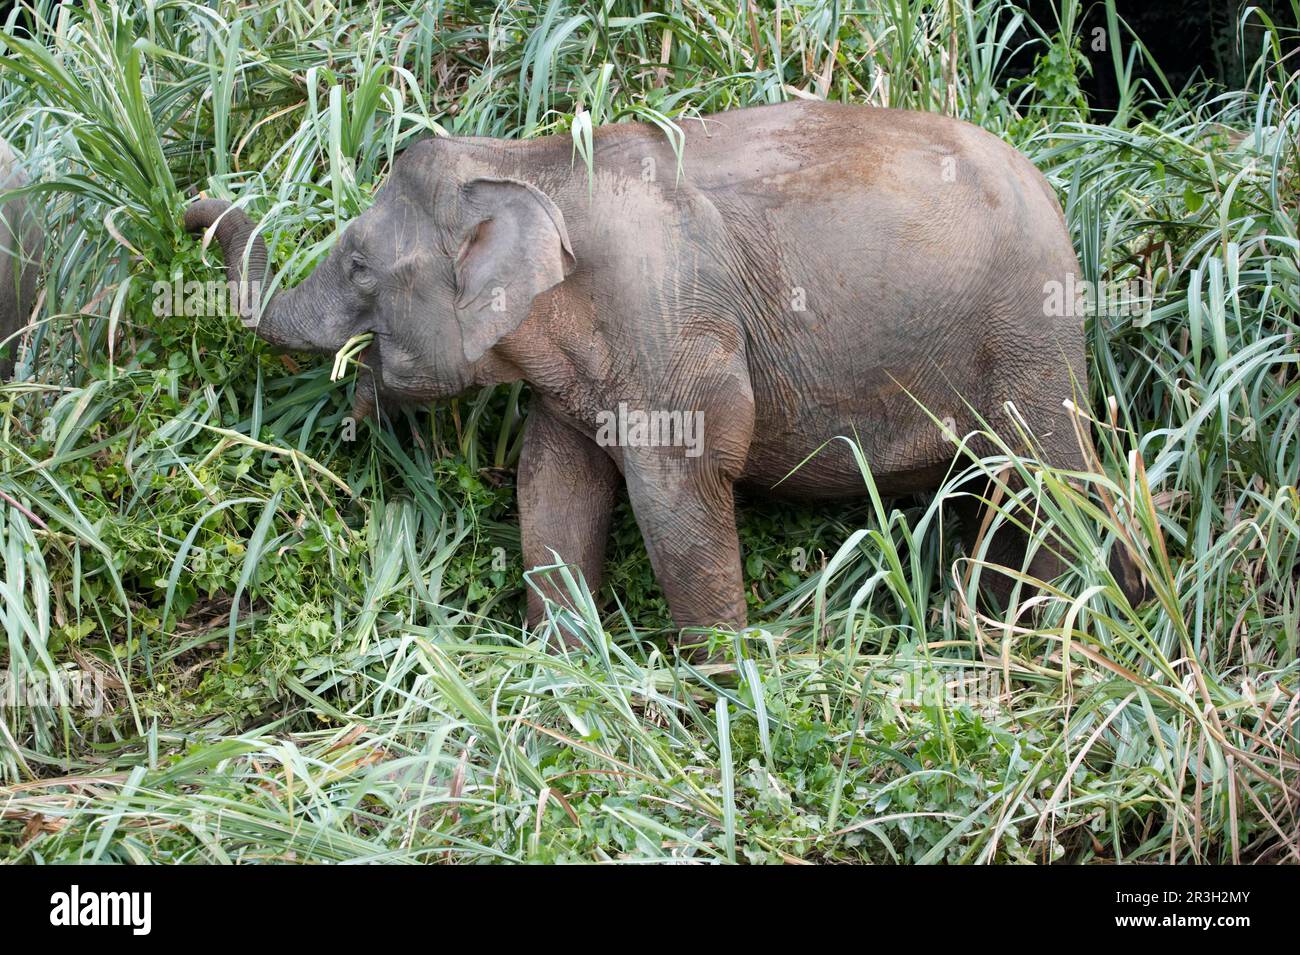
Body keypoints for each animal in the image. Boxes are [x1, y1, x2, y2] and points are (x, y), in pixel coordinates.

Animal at [184, 100, 1147, 640]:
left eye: (357, 265)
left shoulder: (669, 319)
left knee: (1054, 478)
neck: (525, 160)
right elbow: (553, 485)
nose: (192, 205)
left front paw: (717, 688)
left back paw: (1057, 637)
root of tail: (1053, 190)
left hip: (1031, 328)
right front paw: (561, 676)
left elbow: (674, 487)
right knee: (1003, 489)